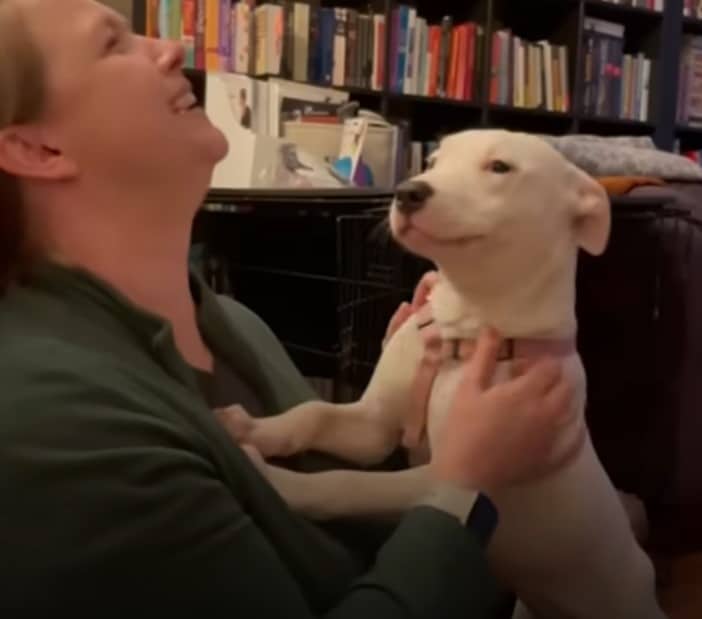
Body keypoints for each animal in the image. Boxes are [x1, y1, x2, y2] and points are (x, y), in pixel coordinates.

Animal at [230, 128, 664, 616]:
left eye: (500, 167)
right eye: (433, 161)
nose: (408, 192)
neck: (461, 331)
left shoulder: (437, 477)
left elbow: (347, 483)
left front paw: (274, 482)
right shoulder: (373, 426)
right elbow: (314, 414)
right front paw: (253, 427)